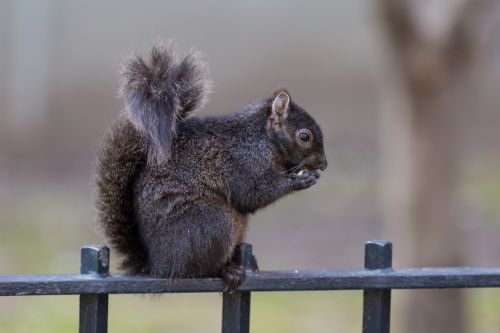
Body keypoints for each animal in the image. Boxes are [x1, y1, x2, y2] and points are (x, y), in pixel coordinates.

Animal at [94, 42, 328, 288]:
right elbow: (253, 194)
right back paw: (227, 270)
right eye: (304, 136)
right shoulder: (245, 162)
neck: (262, 138)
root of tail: (158, 265)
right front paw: (299, 180)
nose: (323, 164)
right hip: (212, 223)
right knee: (202, 269)